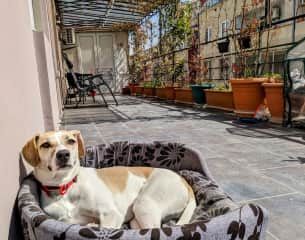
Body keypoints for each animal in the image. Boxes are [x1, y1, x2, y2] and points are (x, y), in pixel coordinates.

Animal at [22, 131, 197, 229]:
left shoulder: (110, 214)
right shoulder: (68, 219)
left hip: (144, 203)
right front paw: (92, 224)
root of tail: (184, 181)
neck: (66, 187)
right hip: (137, 217)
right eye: (45, 145)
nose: (64, 154)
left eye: (71, 141)